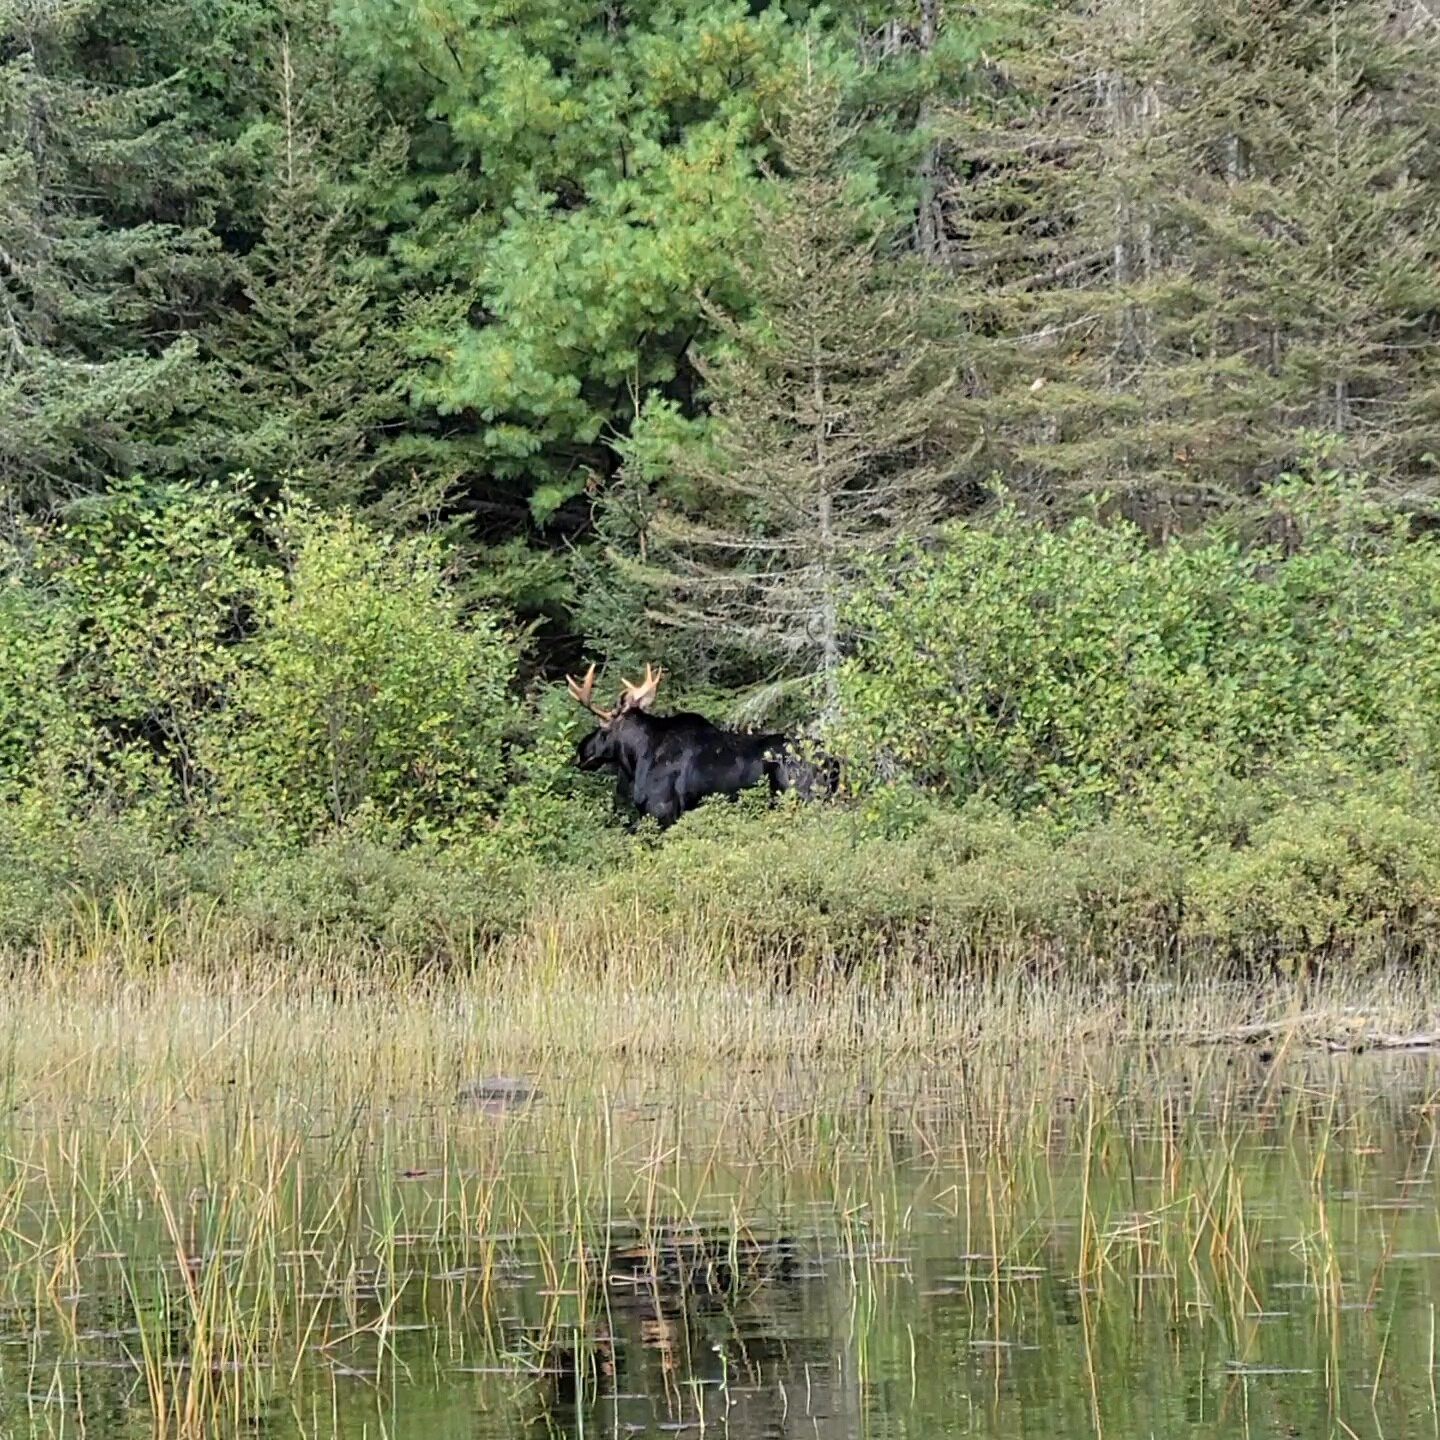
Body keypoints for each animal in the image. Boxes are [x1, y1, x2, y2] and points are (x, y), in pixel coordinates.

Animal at [567, 662, 836, 828]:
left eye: (602, 726)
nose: (581, 751)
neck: (638, 757)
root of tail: (832, 762)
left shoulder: (661, 811)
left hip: (804, 798)